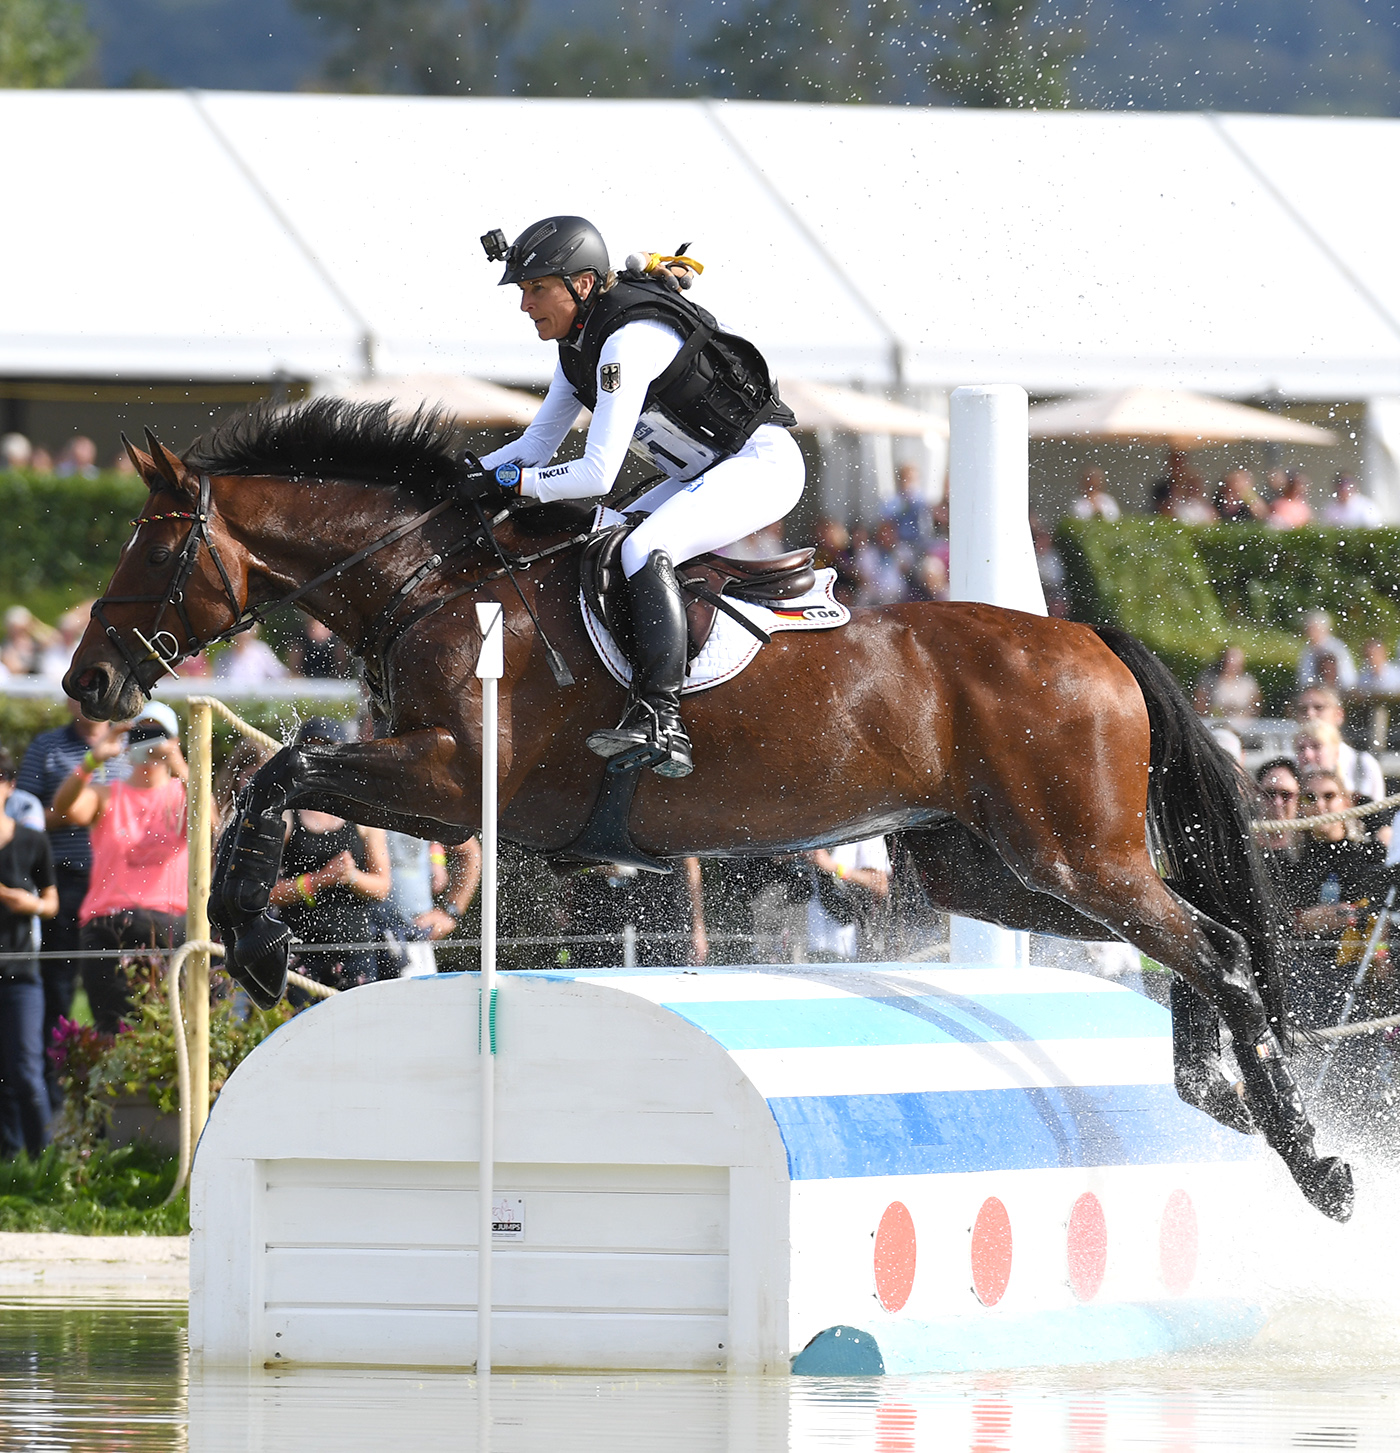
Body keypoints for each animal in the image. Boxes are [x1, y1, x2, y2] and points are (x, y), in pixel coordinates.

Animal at [62, 395, 1347, 1214]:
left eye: (151, 548)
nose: (89, 684)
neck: (435, 583)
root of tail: (1089, 636)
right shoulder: (434, 780)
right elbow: (276, 776)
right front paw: (253, 932)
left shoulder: (449, 782)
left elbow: (285, 769)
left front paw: (259, 941)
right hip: (987, 866)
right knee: (1200, 939)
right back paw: (1218, 1098)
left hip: (1069, 854)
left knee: (1217, 950)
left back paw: (1315, 1165)